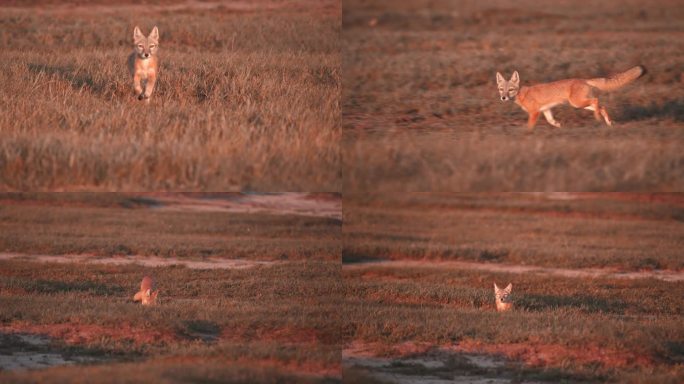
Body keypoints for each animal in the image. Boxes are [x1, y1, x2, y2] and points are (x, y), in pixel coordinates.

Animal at [496, 65, 648, 130]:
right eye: (501, 90)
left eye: (510, 90)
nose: (503, 98)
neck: (522, 94)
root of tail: (584, 79)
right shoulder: (545, 110)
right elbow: (551, 121)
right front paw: (559, 126)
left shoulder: (535, 112)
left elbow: (529, 126)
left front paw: (526, 133)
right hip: (582, 104)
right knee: (602, 106)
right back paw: (608, 122)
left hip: (577, 103)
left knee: (597, 101)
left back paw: (598, 118)